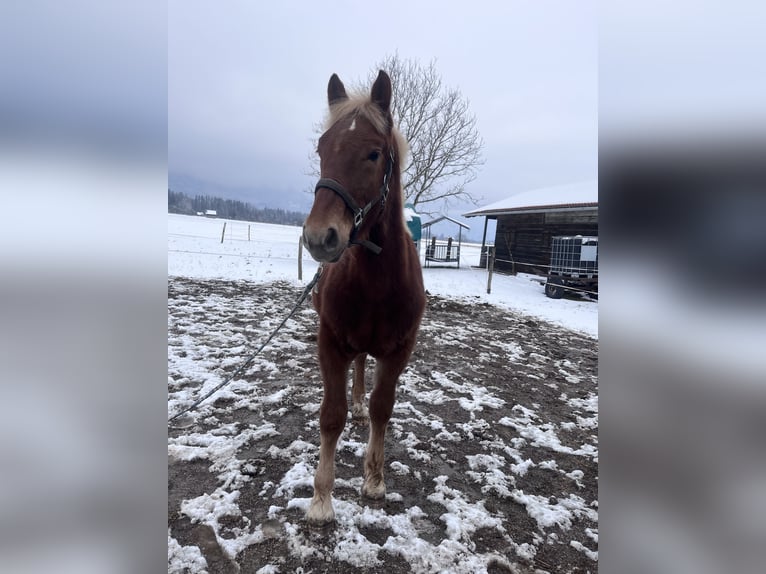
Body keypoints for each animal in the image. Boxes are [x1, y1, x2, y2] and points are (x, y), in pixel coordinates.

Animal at [304, 71, 428, 528]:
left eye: (374, 154)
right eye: (322, 149)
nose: (319, 237)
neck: (377, 280)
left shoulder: (399, 351)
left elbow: (382, 408)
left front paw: (374, 479)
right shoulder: (329, 343)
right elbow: (332, 415)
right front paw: (321, 499)